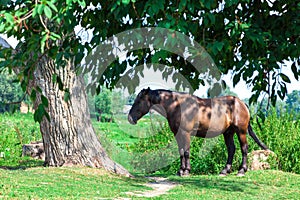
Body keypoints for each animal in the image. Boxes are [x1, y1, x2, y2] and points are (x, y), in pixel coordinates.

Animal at [127, 87, 268, 177]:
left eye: (139, 101)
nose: (130, 118)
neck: (177, 106)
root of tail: (241, 103)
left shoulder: (185, 133)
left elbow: (186, 152)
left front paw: (186, 171)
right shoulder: (177, 134)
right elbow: (181, 152)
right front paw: (180, 171)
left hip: (241, 131)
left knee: (244, 148)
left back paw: (241, 171)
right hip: (228, 133)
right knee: (231, 149)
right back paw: (225, 171)